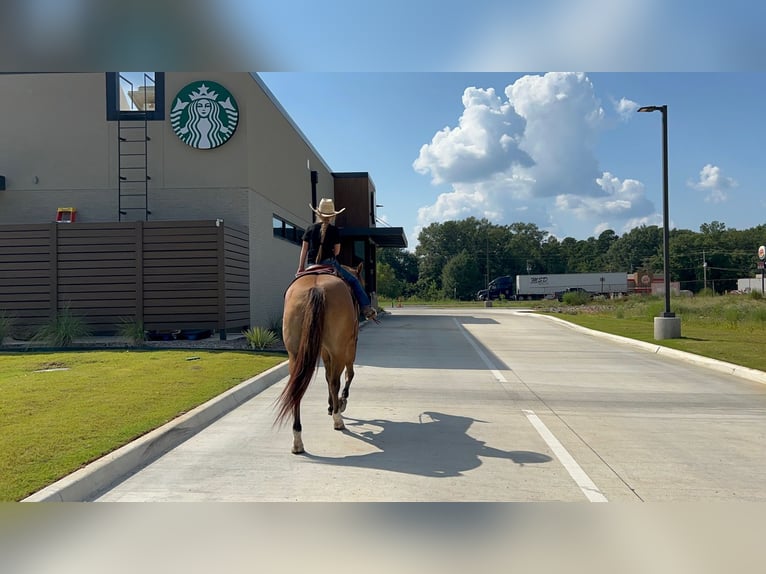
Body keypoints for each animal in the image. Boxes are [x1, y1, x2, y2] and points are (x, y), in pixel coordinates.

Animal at [276, 264, 366, 456]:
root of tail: (315, 288)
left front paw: (331, 405)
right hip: (339, 349)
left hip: (295, 354)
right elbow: (348, 374)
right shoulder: (349, 346)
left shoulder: (324, 350)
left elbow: (326, 376)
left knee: (297, 387)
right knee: (335, 381)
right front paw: (340, 402)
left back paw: (297, 439)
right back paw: (338, 420)